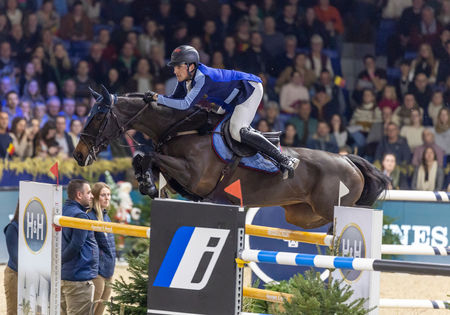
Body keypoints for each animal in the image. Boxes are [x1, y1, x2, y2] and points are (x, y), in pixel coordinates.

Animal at [74, 86, 390, 230]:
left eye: (98, 117)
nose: (78, 155)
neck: (181, 128)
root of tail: (348, 161)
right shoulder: (182, 183)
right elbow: (145, 158)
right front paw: (147, 183)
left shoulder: (195, 177)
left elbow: (150, 156)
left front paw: (147, 183)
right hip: (303, 215)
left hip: (333, 207)